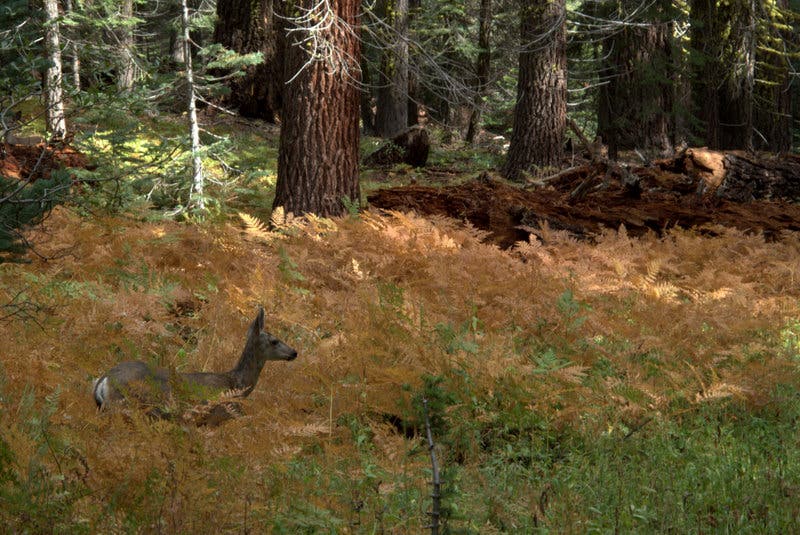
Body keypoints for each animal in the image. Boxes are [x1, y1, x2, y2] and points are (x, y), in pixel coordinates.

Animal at [93, 307, 297, 423]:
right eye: (275, 341)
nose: (294, 352)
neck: (234, 384)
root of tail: (104, 379)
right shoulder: (213, 417)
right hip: (122, 406)